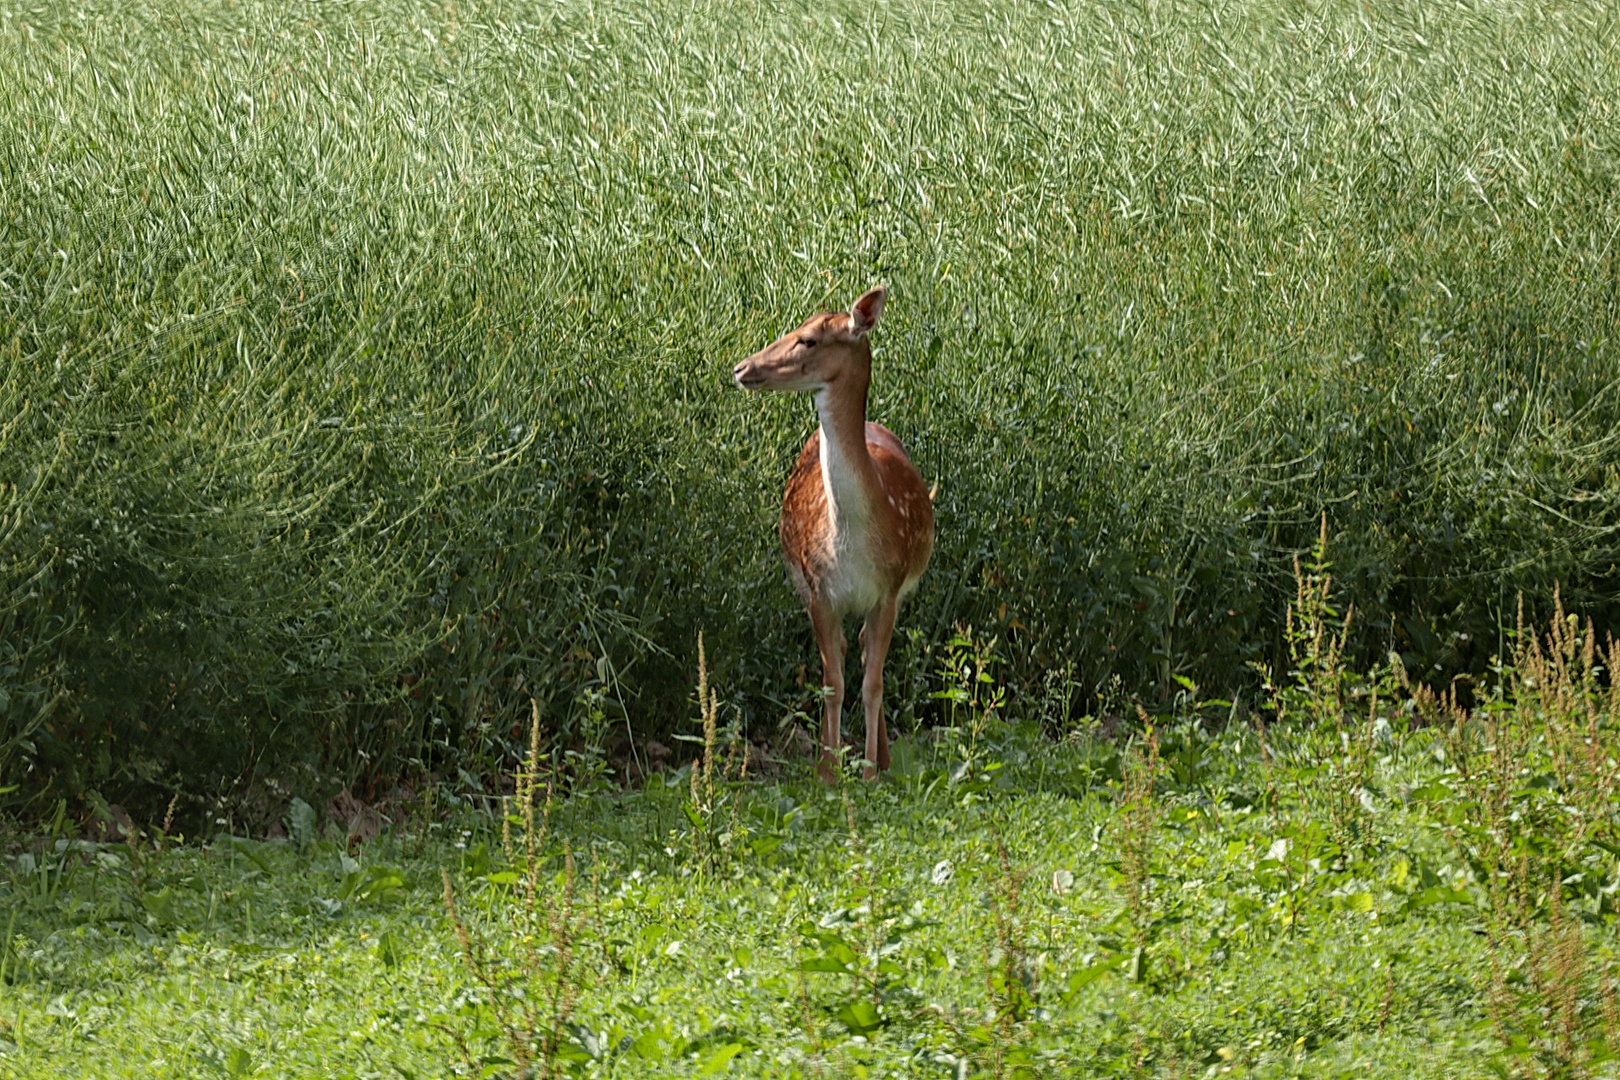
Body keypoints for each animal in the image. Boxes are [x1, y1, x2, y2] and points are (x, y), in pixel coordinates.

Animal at [735, 283, 939, 780]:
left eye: (808, 340)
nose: (741, 367)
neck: (852, 540)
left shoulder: (889, 589)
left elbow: (872, 683)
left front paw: (867, 773)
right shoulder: (817, 589)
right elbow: (832, 681)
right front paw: (827, 772)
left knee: (867, 655)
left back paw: (882, 759)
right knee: (852, 651)